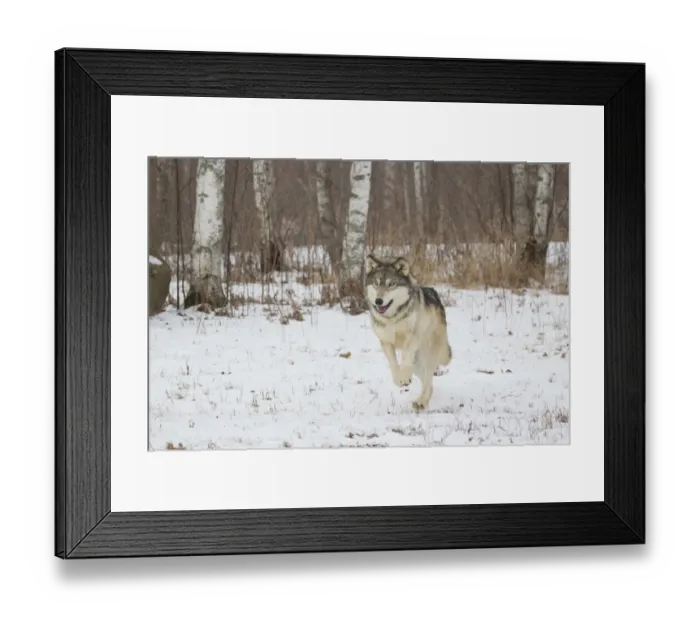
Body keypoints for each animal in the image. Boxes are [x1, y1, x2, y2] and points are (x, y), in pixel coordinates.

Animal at [364, 254, 452, 410]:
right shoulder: (385, 342)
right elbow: (393, 363)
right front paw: (398, 379)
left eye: (391, 284)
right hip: (417, 364)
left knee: (429, 377)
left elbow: (404, 355)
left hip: (429, 355)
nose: (379, 301)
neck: (392, 319)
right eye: (376, 284)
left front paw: (404, 377)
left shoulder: (413, 337)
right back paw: (421, 401)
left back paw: (422, 401)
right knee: (428, 382)